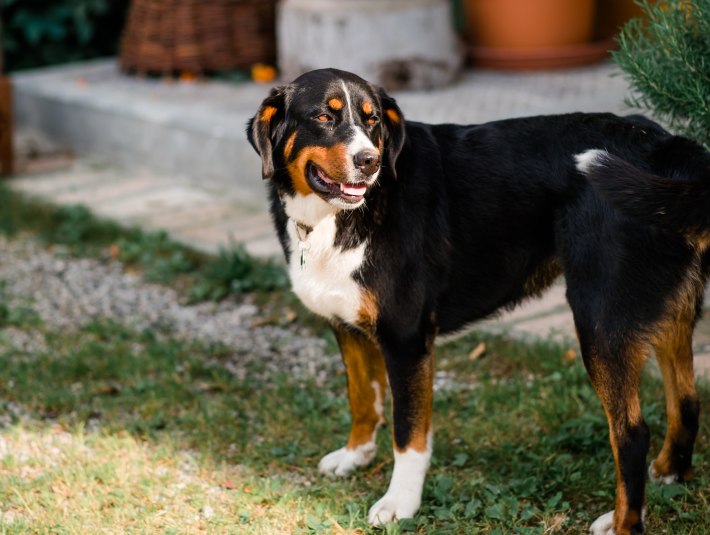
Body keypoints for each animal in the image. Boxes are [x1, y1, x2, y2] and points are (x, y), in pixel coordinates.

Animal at [248, 69, 708, 532]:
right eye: (324, 117)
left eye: (373, 119)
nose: (369, 161)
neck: (336, 220)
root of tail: (663, 143)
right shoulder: (348, 328)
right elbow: (362, 399)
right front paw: (355, 455)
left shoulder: (406, 340)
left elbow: (408, 433)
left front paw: (400, 503)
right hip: (667, 312)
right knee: (685, 400)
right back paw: (670, 471)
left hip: (600, 320)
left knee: (631, 433)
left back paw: (623, 521)